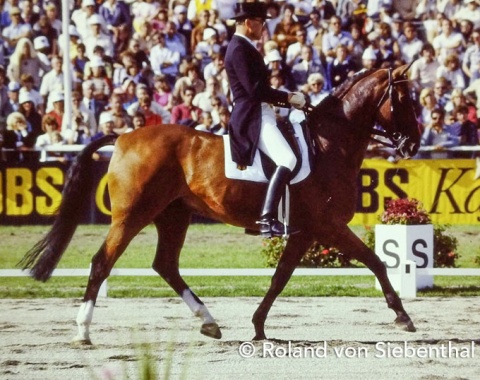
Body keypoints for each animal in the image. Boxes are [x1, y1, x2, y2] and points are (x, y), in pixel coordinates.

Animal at [19, 65, 420, 344]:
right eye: (405, 100)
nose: (414, 144)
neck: (328, 143)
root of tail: (122, 138)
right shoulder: (328, 226)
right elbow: (375, 261)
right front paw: (402, 316)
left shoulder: (305, 232)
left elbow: (280, 277)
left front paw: (258, 326)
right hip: (132, 216)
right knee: (102, 262)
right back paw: (83, 331)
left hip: (173, 216)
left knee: (165, 265)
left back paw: (209, 323)